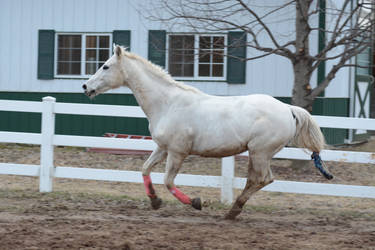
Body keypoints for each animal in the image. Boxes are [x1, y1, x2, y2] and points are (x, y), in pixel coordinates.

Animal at [83, 46, 332, 220]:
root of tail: (288, 109)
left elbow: (168, 181)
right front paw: (154, 201)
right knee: (257, 180)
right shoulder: (163, 148)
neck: (168, 103)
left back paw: (232, 211)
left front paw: (196, 202)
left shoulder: (177, 152)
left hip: (260, 152)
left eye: (105, 66)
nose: (86, 87)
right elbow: (144, 169)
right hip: (258, 154)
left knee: (261, 179)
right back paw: (232, 211)